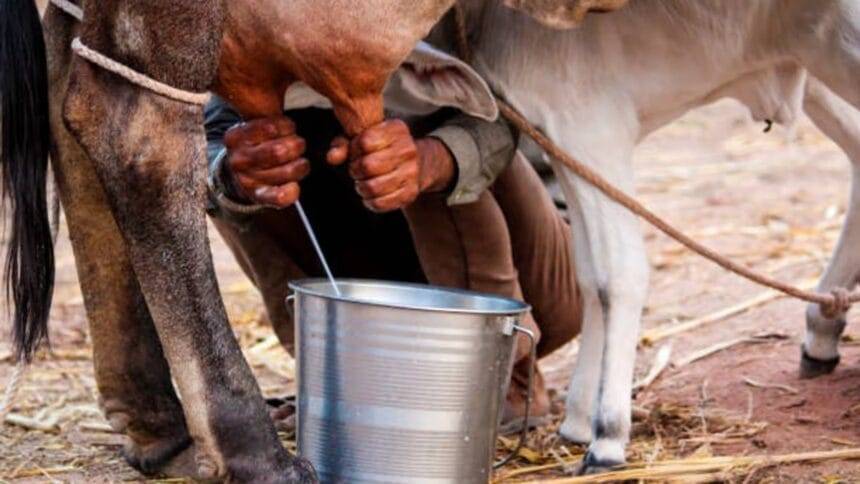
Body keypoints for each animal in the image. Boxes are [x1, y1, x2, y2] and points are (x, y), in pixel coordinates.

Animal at [456, 0, 860, 474]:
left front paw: (608, 436)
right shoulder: (565, 144)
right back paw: (823, 330)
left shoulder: (589, 126)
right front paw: (578, 419)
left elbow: (618, 275)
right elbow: (589, 276)